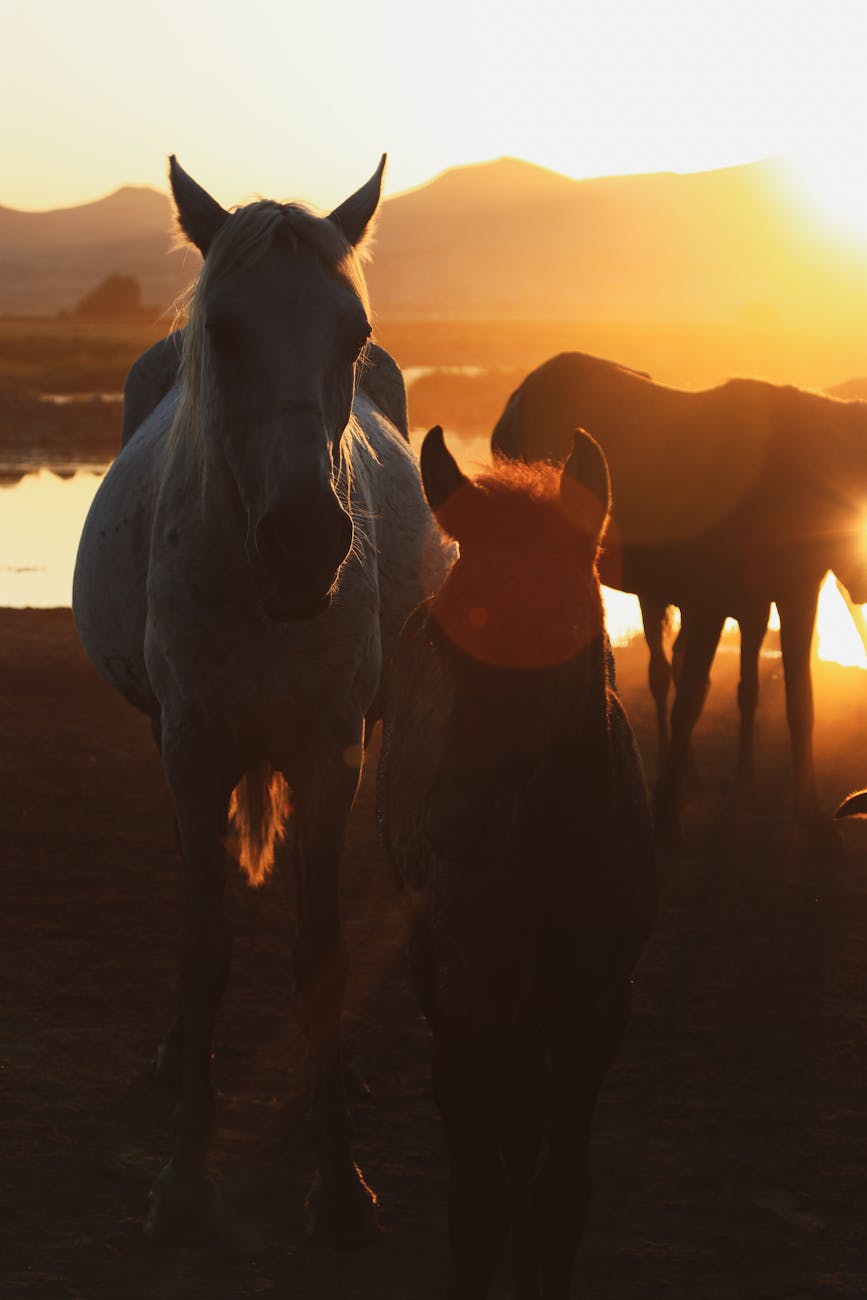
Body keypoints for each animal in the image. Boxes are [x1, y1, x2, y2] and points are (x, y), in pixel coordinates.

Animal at [72, 154, 448, 1246]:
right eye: (223, 331)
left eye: (351, 335)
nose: (306, 543)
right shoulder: (191, 751)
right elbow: (205, 949)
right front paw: (184, 1178)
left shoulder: (331, 752)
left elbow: (321, 954)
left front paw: (340, 1183)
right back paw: (173, 1053)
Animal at [377, 426, 656, 1298]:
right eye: (445, 632)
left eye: (560, 621)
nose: (454, 825)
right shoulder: (471, 987)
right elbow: (479, 1198)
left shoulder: (599, 1000)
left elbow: (559, 1192)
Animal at [491, 351, 867, 844]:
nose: (859, 582)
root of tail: (516, 400)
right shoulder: (711, 603)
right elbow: (689, 702)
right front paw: (666, 807)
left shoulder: (794, 594)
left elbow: (799, 704)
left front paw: (811, 813)